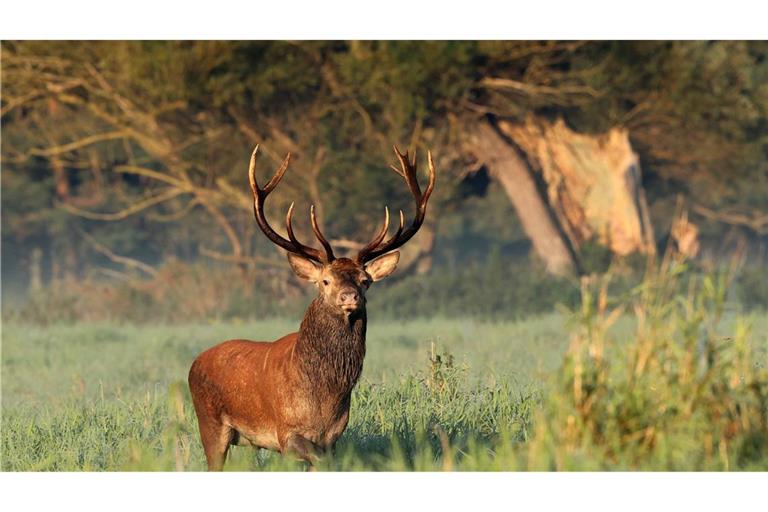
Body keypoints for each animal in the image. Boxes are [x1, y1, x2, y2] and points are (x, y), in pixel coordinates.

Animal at [189, 145, 436, 472]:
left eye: (365, 280)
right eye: (325, 280)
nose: (350, 296)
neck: (324, 398)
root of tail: (194, 363)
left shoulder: (333, 436)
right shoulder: (286, 432)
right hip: (210, 423)